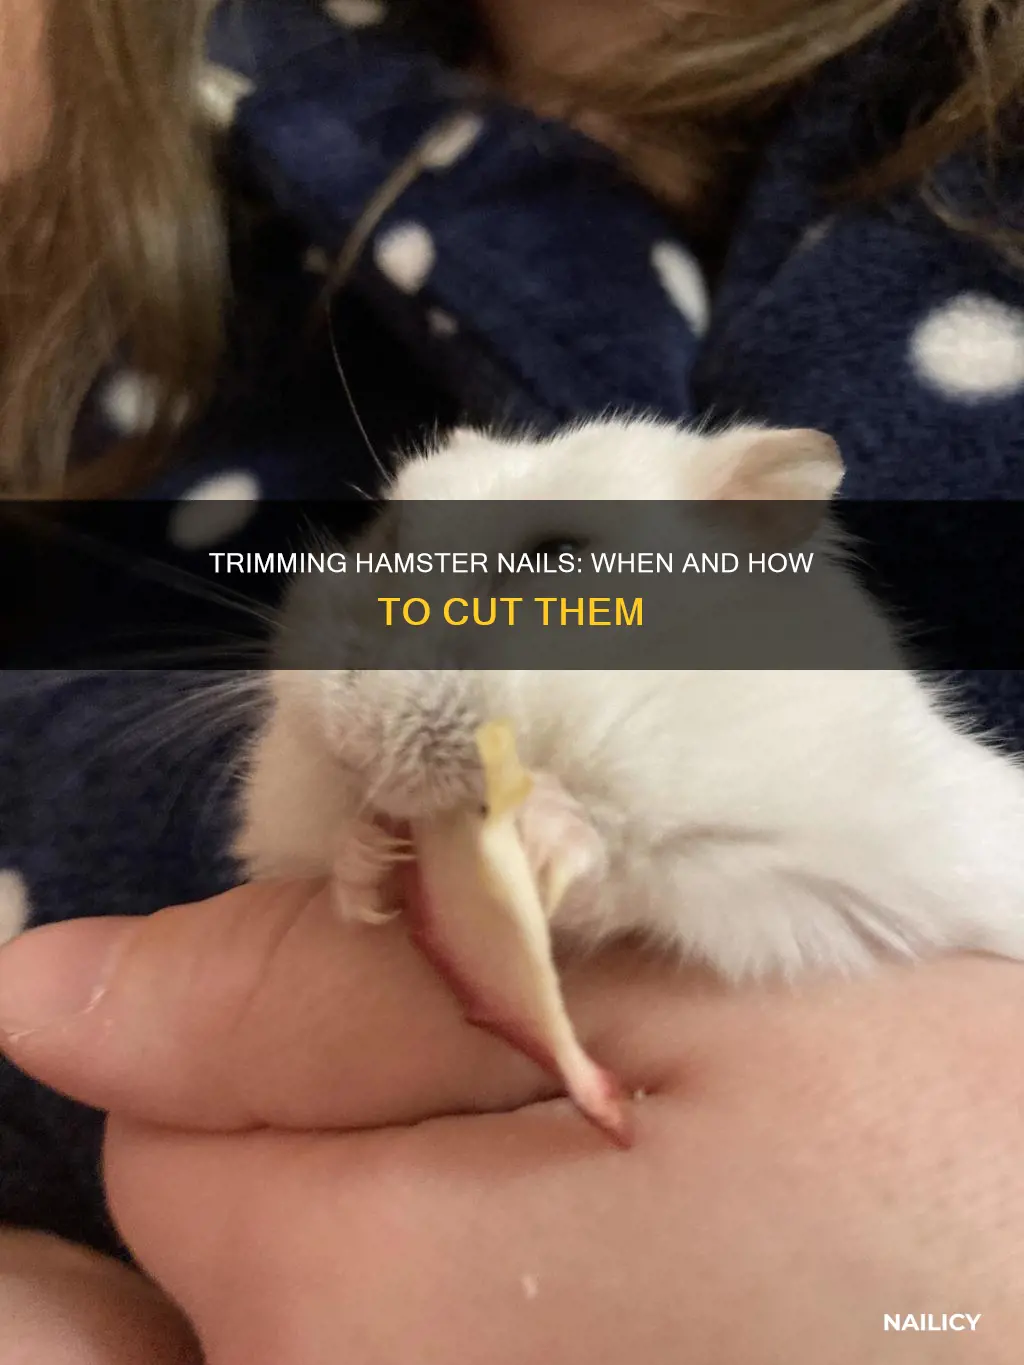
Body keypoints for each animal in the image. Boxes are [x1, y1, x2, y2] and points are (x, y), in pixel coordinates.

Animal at [234, 417, 1024, 982]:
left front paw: (544, 828)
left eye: (556, 556)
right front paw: (365, 867)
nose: (343, 738)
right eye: (388, 531)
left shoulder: (801, 872)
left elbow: (626, 869)